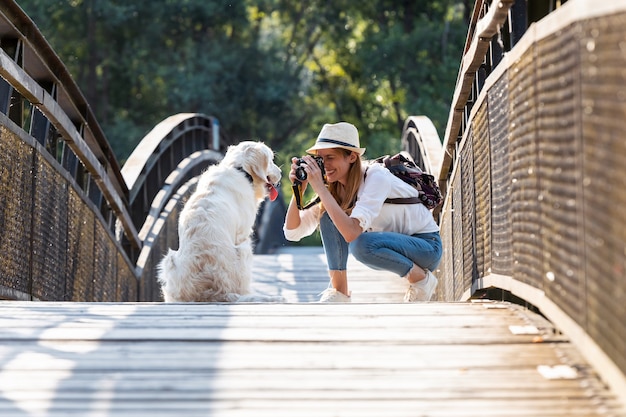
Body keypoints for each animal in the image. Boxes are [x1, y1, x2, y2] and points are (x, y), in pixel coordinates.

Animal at [157, 141, 284, 302]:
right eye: (271, 160)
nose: (281, 172)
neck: (240, 170)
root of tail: (211, 293)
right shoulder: (243, 234)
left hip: (169, 260)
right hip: (244, 248)